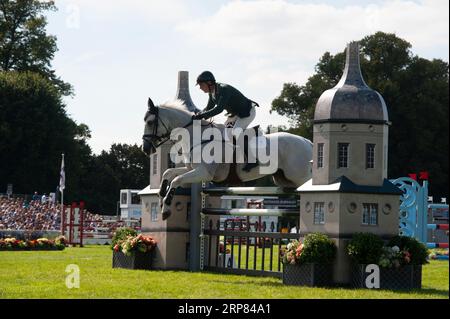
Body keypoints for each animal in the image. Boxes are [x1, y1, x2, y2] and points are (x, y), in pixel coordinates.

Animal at [142, 99, 312, 221]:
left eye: (150, 122)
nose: (145, 149)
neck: (198, 137)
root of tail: (307, 142)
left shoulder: (204, 173)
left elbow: (176, 180)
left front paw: (165, 210)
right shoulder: (192, 169)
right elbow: (168, 173)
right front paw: (160, 198)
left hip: (300, 176)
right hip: (284, 179)